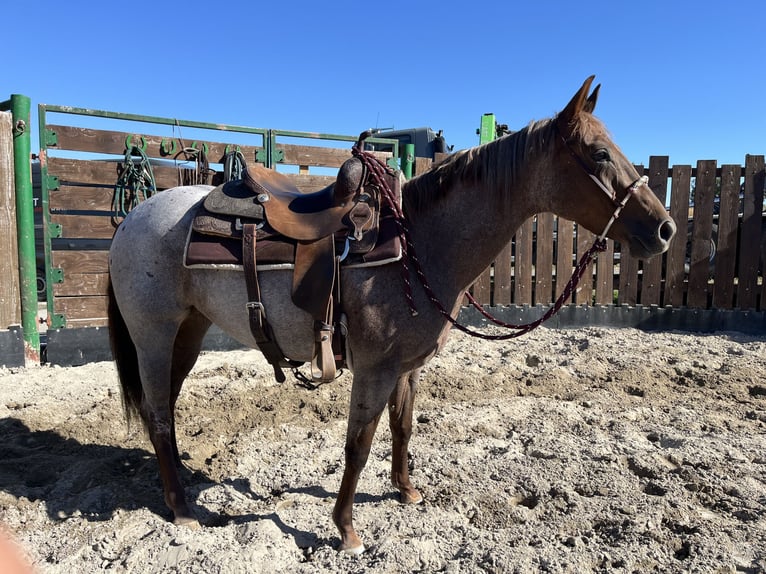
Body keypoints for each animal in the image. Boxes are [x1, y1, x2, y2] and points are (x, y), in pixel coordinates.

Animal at [107, 76, 676, 554]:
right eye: (599, 153)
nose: (665, 229)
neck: (418, 244)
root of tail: (133, 217)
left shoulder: (407, 365)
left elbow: (403, 428)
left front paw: (406, 491)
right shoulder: (375, 369)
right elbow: (359, 444)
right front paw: (345, 529)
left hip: (189, 330)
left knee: (167, 407)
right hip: (154, 336)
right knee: (158, 414)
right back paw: (181, 509)